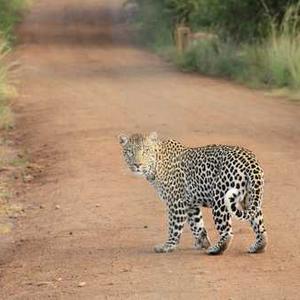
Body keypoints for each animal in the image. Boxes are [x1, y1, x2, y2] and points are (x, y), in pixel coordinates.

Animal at [119, 132, 268, 254]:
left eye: (145, 151)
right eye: (130, 152)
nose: (137, 164)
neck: (155, 165)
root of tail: (251, 161)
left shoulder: (176, 202)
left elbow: (174, 226)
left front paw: (168, 246)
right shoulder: (190, 204)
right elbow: (197, 224)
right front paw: (202, 242)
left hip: (220, 199)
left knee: (227, 232)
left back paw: (216, 249)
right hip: (250, 198)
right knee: (259, 226)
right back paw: (257, 247)